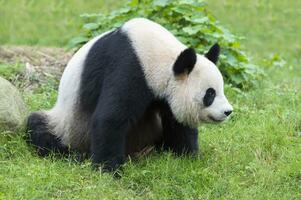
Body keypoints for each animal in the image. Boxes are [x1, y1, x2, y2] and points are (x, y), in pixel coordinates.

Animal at [25, 18, 232, 171]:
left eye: (221, 89)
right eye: (210, 94)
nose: (228, 111)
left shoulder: (165, 94)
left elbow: (177, 122)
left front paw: (187, 156)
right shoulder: (129, 66)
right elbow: (111, 117)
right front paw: (108, 169)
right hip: (68, 125)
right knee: (39, 128)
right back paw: (73, 154)